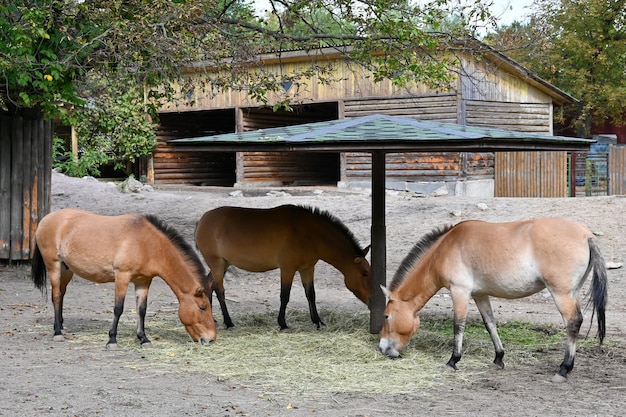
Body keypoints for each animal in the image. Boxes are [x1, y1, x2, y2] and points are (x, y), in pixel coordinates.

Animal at [31, 208, 217, 348]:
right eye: (202, 307)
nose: (211, 339)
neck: (148, 245)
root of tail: (46, 219)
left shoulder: (143, 281)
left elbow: (142, 310)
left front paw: (143, 339)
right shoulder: (122, 276)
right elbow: (118, 308)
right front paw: (112, 340)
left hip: (66, 270)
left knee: (61, 294)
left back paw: (62, 327)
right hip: (54, 266)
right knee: (56, 296)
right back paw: (57, 332)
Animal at [195, 204, 370, 328]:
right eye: (364, 274)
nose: (371, 301)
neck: (308, 233)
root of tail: (203, 219)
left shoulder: (307, 269)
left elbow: (311, 294)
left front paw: (317, 321)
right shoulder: (287, 269)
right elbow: (285, 296)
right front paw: (283, 323)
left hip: (224, 263)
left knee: (209, 285)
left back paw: (212, 319)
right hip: (216, 263)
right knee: (219, 290)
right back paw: (229, 322)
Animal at [378, 216, 608, 382]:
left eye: (386, 316)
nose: (382, 348)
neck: (446, 248)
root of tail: (587, 235)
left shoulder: (460, 292)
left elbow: (458, 325)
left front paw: (453, 361)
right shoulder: (480, 295)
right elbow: (490, 324)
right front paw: (499, 358)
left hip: (561, 293)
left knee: (573, 322)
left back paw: (563, 369)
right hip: (572, 292)